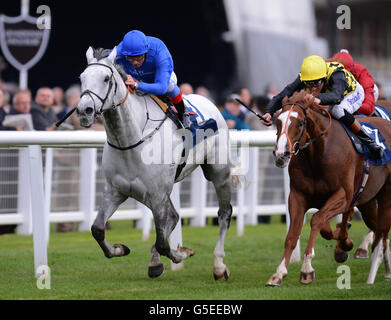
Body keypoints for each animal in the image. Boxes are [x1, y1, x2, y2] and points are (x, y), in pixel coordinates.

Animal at [77, 46, 233, 278]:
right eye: (81, 78)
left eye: (106, 78)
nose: (84, 110)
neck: (130, 141)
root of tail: (210, 101)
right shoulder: (116, 190)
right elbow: (97, 229)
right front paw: (120, 249)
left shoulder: (157, 194)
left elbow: (163, 242)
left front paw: (181, 254)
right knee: (174, 216)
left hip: (218, 172)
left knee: (224, 214)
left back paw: (219, 266)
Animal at [268, 90, 391, 284]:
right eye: (277, 122)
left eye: (300, 123)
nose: (281, 154)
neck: (319, 154)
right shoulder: (297, 196)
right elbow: (294, 233)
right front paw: (279, 273)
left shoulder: (343, 196)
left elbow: (317, 219)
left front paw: (307, 269)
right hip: (368, 201)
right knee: (379, 229)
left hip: (385, 195)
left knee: (383, 229)